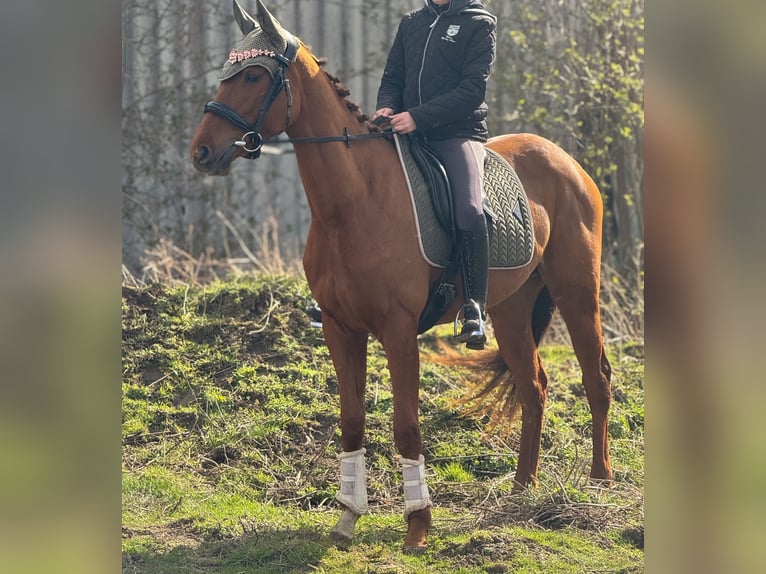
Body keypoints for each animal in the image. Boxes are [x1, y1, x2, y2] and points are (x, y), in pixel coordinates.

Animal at [191, 0, 612, 552]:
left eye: (255, 76)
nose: (201, 152)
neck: (353, 202)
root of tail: (566, 160)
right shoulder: (340, 328)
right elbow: (351, 421)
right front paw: (347, 517)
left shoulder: (397, 330)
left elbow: (407, 426)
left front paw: (418, 526)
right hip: (510, 308)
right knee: (533, 385)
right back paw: (522, 490)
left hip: (577, 291)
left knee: (595, 377)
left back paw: (599, 484)